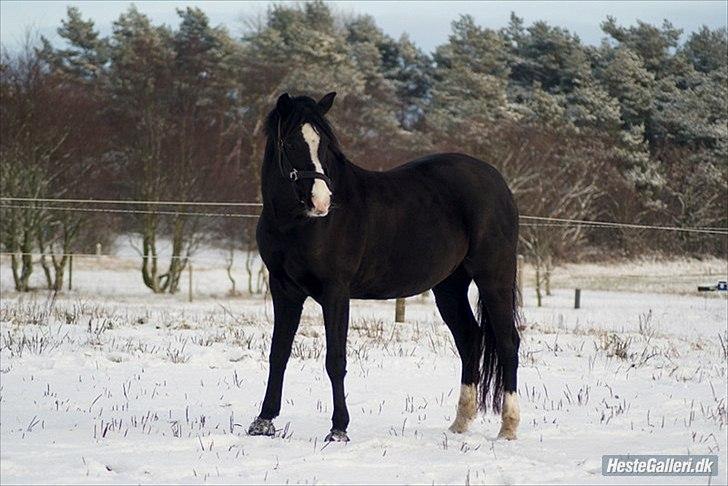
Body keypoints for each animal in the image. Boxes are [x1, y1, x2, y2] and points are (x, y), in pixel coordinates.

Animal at [247, 92, 521, 442]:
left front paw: (338, 429)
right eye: (292, 143)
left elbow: (335, 359)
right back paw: (460, 423)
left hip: (493, 276)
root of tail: (497, 181)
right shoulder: (283, 288)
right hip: (449, 286)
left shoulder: (335, 292)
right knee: (470, 339)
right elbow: (278, 353)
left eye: (325, 145)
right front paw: (263, 422)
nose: (321, 202)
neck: (296, 225)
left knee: (507, 342)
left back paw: (508, 427)